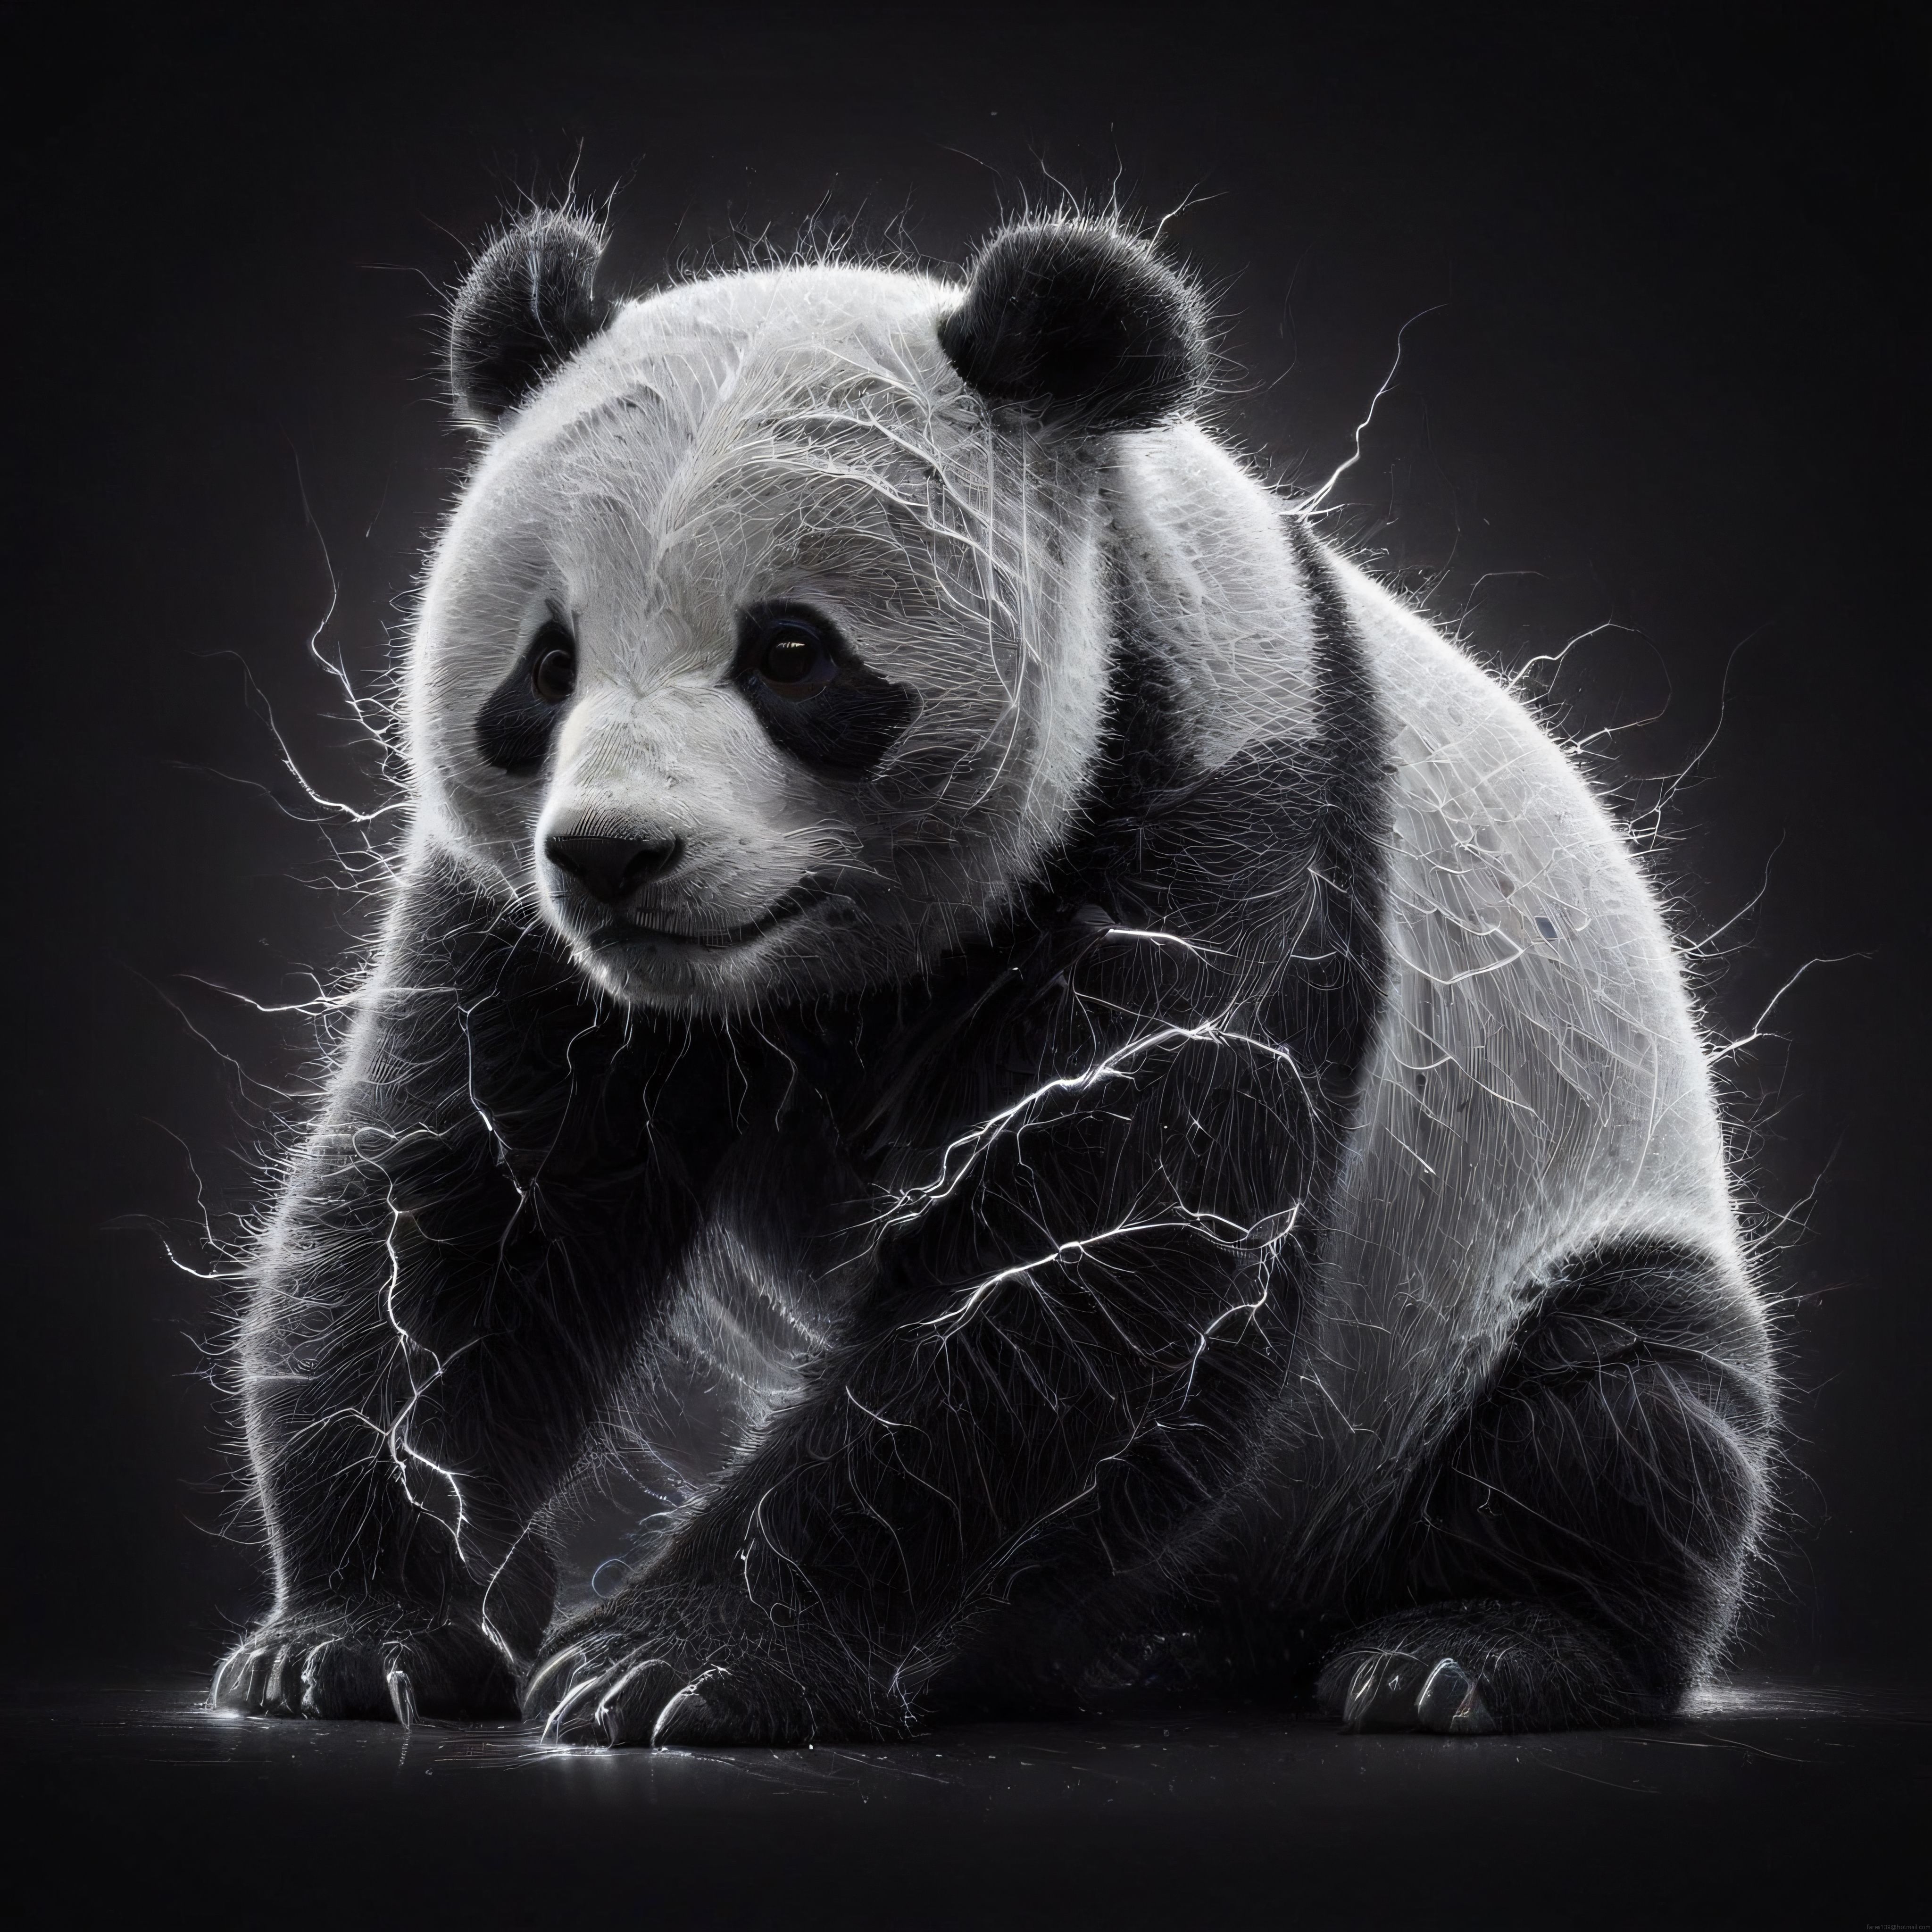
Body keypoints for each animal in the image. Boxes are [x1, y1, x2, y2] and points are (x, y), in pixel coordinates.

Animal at [212, 209, 1773, 1747]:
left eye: (791, 653)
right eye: (546, 667)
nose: (614, 856)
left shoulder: (1233, 810)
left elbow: (1073, 1264)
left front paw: (673, 1658)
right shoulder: (527, 939)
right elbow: (462, 1210)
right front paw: (365, 1635)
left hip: (1518, 1253)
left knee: (1616, 1406)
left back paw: (1471, 1652)